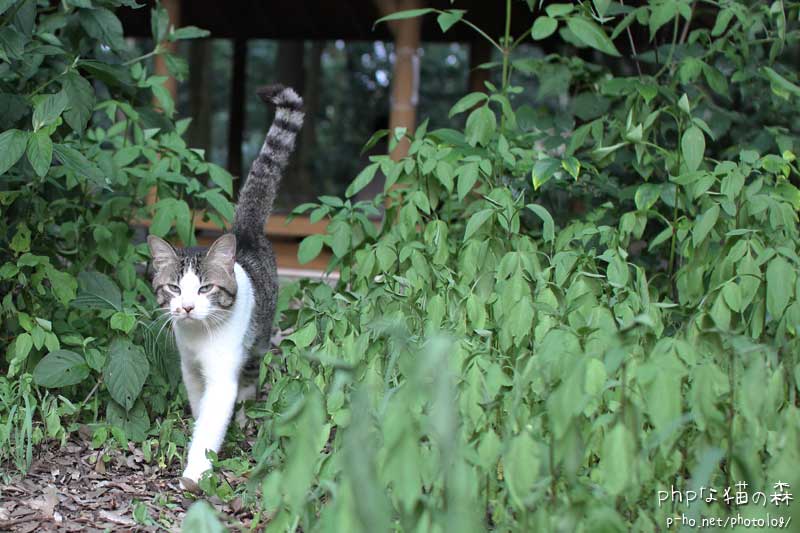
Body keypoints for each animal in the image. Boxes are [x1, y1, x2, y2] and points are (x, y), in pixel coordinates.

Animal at [146, 85, 304, 485]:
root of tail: (244, 233)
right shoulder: (190, 368)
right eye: (174, 289)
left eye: (205, 289)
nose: (186, 307)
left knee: (250, 375)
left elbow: (212, 421)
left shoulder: (221, 376)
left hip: (258, 338)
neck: (198, 337)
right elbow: (198, 406)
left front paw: (195, 471)